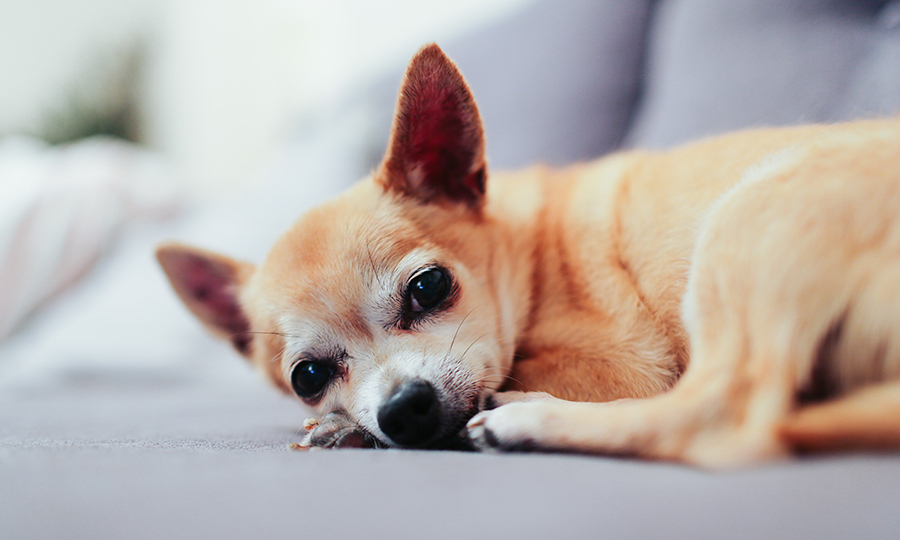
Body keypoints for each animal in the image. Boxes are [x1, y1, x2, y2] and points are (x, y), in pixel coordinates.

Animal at [156, 44, 900, 466]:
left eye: (429, 288)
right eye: (308, 376)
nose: (402, 409)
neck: (529, 254)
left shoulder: (624, 369)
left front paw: (351, 428)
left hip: (751, 216)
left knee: (721, 417)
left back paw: (526, 417)